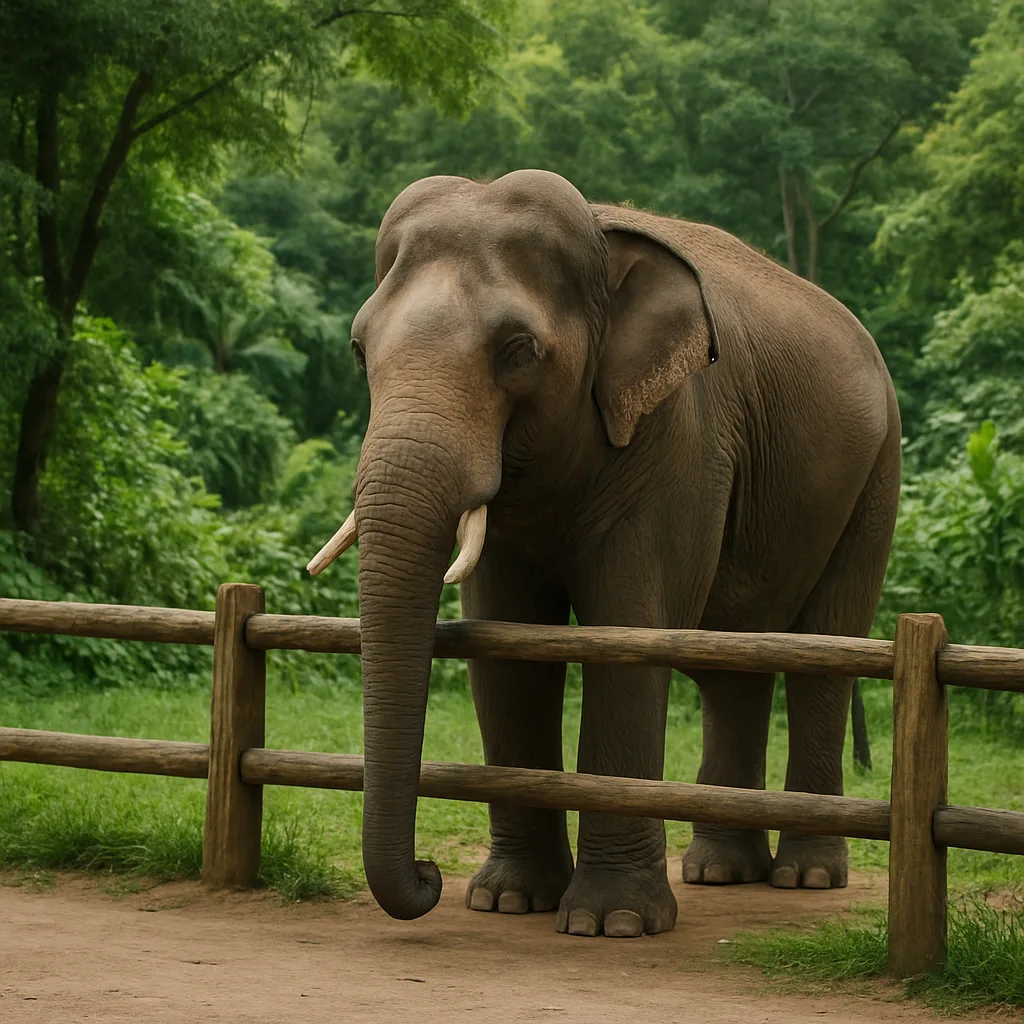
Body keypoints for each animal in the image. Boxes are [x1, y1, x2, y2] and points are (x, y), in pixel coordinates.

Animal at [309, 168, 901, 938]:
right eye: (358, 349)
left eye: (519, 349)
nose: (430, 876)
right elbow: (506, 642)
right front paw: (508, 901)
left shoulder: (679, 434)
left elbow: (627, 630)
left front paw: (610, 922)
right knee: (733, 667)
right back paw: (721, 871)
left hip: (876, 475)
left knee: (825, 654)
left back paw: (807, 878)